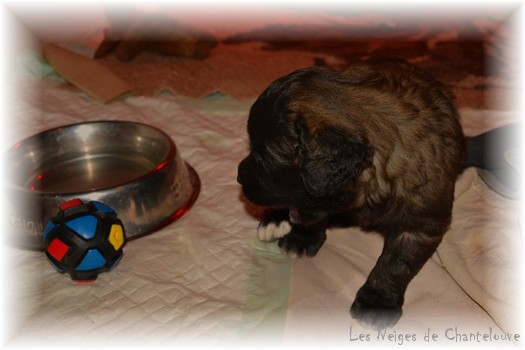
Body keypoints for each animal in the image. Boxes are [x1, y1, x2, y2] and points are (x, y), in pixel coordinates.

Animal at [235, 58, 464, 330]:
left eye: (265, 157)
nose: (238, 176)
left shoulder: (421, 224)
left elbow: (395, 263)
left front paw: (377, 300)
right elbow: (314, 213)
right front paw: (302, 236)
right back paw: (275, 220)